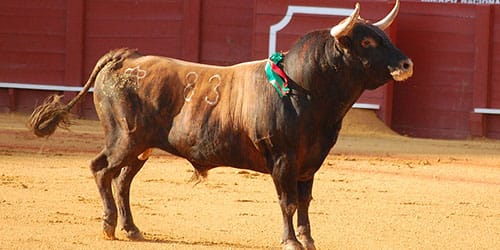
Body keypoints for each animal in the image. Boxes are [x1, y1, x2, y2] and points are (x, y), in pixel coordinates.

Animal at [29, 0, 414, 249]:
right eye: (367, 41)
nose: (406, 64)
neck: (305, 89)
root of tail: (126, 57)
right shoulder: (283, 160)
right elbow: (287, 202)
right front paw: (290, 241)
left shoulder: (310, 163)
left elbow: (304, 202)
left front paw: (308, 240)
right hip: (123, 139)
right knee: (100, 170)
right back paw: (109, 226)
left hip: (141, 147)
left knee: (122, 181)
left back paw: (133, 229)